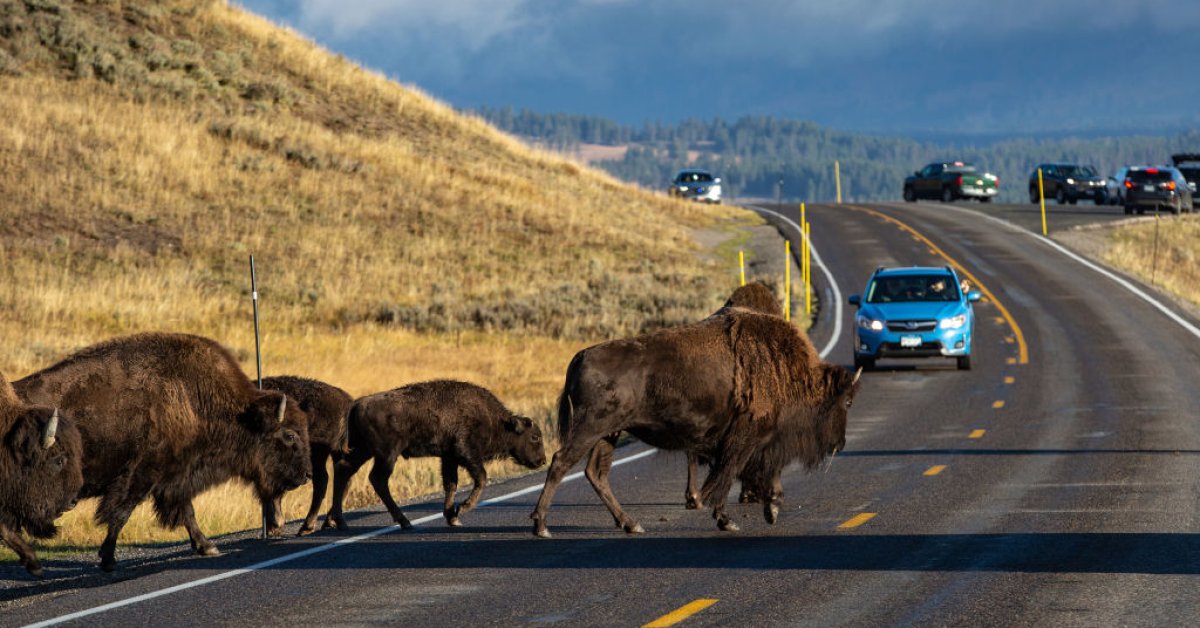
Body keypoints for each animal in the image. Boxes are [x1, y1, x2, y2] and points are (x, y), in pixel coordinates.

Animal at [14, 333, 312, 573]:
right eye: (289, 435)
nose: (306, 475)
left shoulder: (176, 477)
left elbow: (187, 512)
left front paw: (207, 546)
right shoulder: (143, 475)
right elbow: (121, 514)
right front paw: (108, 560)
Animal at [260, 377, 352, 537]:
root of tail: (345, 401)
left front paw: (274, 526)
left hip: (318, 453)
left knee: (322, 480)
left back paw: (306, 527)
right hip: (335, 452)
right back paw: (330, 521)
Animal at [326, 381, 547, 533]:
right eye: (535, 437)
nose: (542, 460)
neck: (496, 420)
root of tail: (358, 404)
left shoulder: (448, 458)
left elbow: (451, 484)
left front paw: (452, 516)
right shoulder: (466, 453)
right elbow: (481, 478)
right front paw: (462, 509)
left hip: (365, 451)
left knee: (344, 469)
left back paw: (341, 521)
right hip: (386, 454)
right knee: (377, 479)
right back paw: (404, 522)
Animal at [530, 307, 859, 537]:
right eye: (846, 401)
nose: (839, 444)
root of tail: (580, 356)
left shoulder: (757, 440)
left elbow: (757, 471)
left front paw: (770, 509)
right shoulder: (747, 438)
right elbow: (729, 474)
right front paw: (728, 519)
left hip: (609, 433)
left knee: (596, 473)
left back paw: (631, 524)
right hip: (589, 429)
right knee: (561, 463)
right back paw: (541, 526)